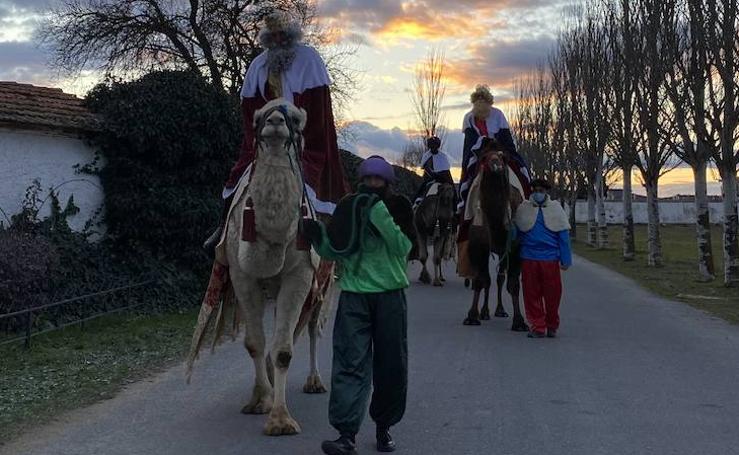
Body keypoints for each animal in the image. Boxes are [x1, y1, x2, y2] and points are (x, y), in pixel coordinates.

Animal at [224, 99, 326, 434]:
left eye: (296, 119)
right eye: (257, 117)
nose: (275, 123)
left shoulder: (300, 275)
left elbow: (283, 350)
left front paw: (280, 420)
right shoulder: (241, 275)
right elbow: (255, 343)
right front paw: (259, 400)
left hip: (320, 287)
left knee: (310, 329)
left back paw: (314, 382)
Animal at [466, 150, 528, 332]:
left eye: (502, 157)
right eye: (485, 158)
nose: (496, 164)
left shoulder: (515, 249)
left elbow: (513, 284)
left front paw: (519, 321)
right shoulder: (478, 246)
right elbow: (480, 280)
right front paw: (472, 316)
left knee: (500, 278)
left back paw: (500, 310)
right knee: (488, 279)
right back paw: (485, 312)